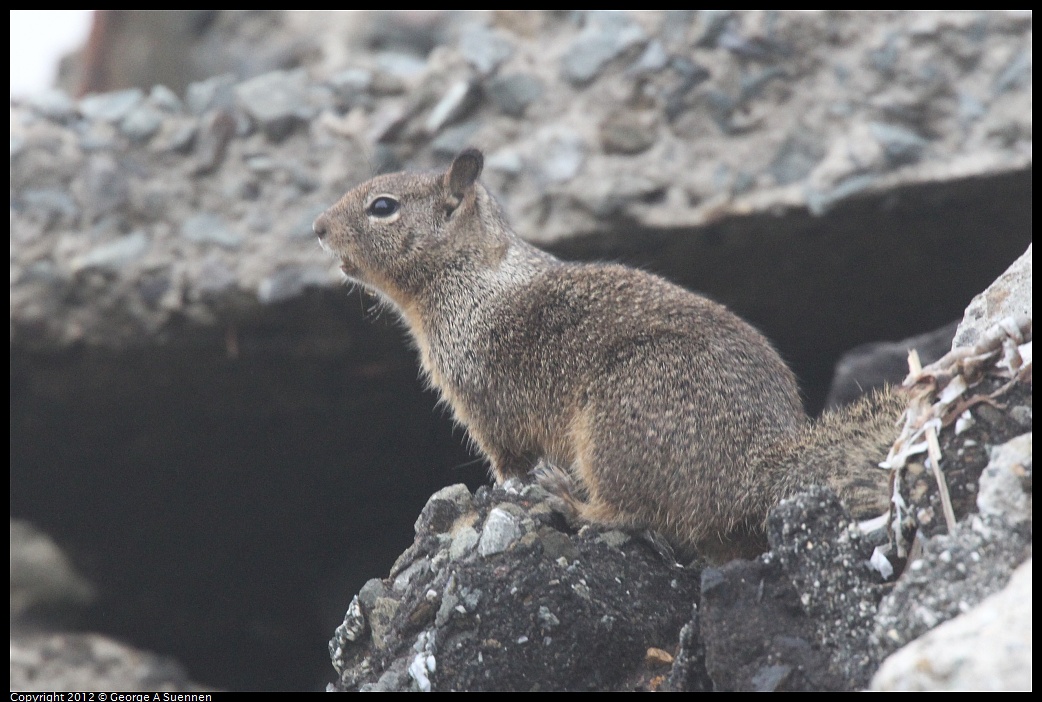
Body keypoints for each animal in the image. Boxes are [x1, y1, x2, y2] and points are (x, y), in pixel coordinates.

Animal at [310, 149, 904, 562]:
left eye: (382, 207)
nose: (316, 228)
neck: (469, 276)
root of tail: (756, 467)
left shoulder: (483, 402)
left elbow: (507, 459)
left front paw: (505, 489)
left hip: (618, 424)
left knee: (633, 512)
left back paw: (570, 501)